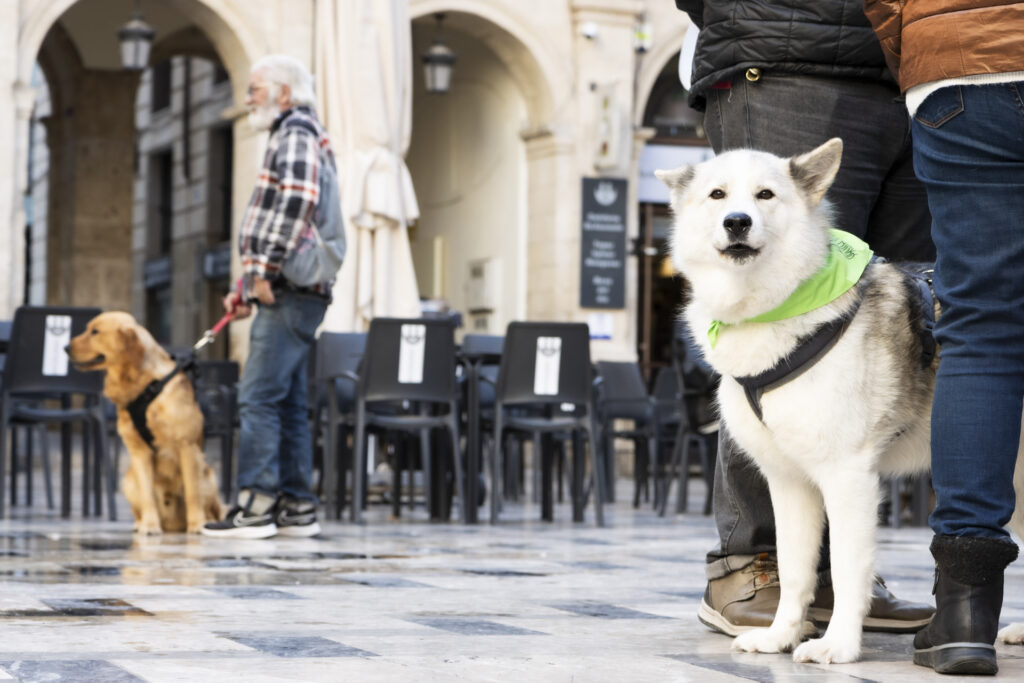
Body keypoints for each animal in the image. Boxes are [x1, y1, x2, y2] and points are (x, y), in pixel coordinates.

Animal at [655, 141, 1024, 663]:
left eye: (765, 195)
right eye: (717, 195)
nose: (737, 222)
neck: (778, 307)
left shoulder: (850, 478)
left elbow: (850, 569)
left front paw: (840, 645)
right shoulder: (789, 482)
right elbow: (794, 570)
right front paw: (781, 635)